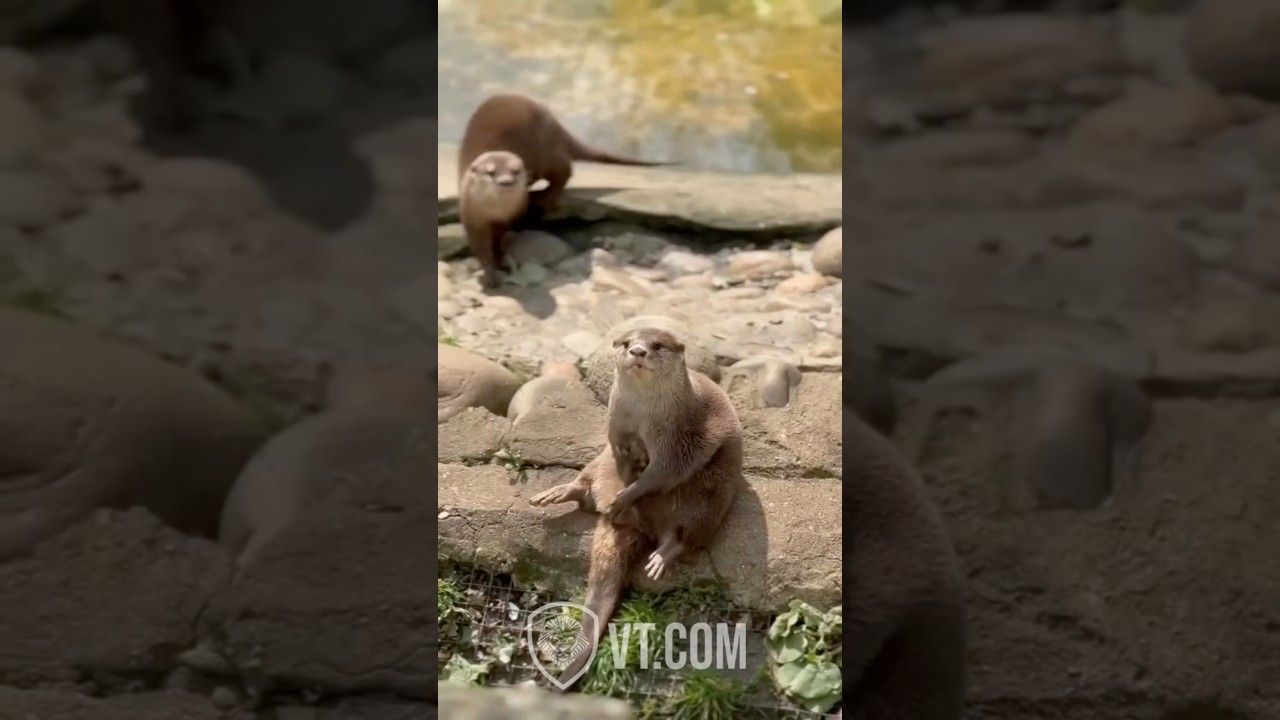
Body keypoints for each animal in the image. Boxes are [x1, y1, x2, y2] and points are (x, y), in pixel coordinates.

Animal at [457, 150, 532, 287]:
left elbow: (498, 245)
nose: (506, 182)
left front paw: (498, 262)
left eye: (516, 171)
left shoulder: (504, 222)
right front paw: (489, 276)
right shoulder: (475, 225)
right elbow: (482, 251)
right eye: (490, 172)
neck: (494, 215)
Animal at [529, 327, 743, 692]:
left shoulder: (677, 440)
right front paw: (625, 485)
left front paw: (626, 497)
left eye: (657, 345)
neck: (645, 418)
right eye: (627, 342)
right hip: (599, 462)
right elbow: (623, 457)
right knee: (587, 483)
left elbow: (661, 472)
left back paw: (661, 553)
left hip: (710, 498)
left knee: (685, 535)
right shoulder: (616, 427)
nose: (639, 351)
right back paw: (561, 493)